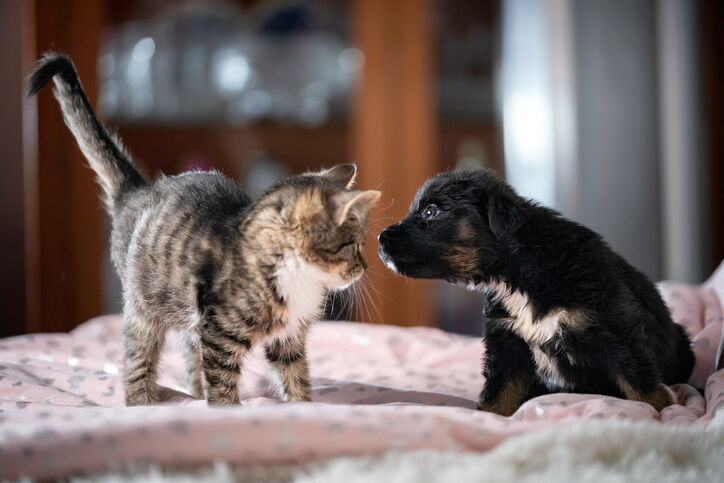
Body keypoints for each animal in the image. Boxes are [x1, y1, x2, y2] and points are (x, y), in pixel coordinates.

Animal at [27, 54, 378, 408]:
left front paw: (302, 407)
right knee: (139, 358)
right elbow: (222, 384)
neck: (297, 277)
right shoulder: (218, 332)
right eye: (352, 244)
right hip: (143, 306)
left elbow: (296, 377)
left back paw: (193, 395)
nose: (364, 267)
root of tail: (139, 191)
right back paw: (143, 403)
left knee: (189, 356)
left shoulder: (287, 338)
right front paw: (228, 411)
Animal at [376, 169, 692, 416]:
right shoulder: (506, 343)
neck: (519, 273)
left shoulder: (615, 332)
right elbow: (498, 392)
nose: (380, 238)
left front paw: (666, 414)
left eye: (431, 212)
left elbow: (641, 384)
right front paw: (487, 417)